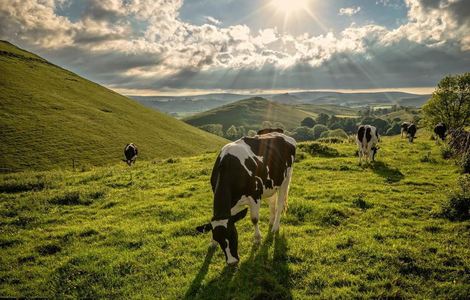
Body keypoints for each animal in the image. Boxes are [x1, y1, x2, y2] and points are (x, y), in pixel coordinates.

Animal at [196, 131, 296, 264]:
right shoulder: (232, 203)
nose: (232, 262)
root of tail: (282, 134)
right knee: (272, 203)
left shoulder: (255, 196)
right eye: (218, 239)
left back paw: (275, 227)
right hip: (271, 184)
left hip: (286, 178)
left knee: (279, 205)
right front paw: (212, 243)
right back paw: (271, 222)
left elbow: (254, 219)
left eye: (233, 234)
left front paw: (257, 239)